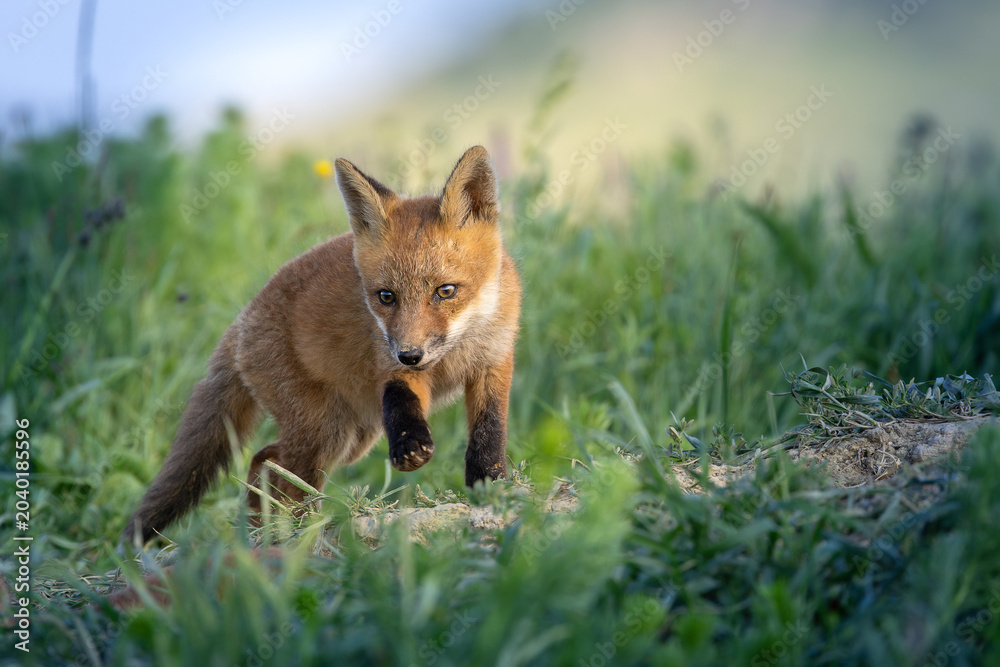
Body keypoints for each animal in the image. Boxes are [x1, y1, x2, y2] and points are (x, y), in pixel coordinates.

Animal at [123, 145, 521, 545]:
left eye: (446, 291)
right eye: (386, 296)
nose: (410, 354)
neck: (457, 349)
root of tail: (243, 319)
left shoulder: (494, 363)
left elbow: (489, 430)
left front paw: (489, 484)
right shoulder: (393, 368)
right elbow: (401, 401)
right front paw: (409, 445)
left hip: (352, 436)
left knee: (266, 462)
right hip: (324, 433)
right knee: (273, 468)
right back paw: (279, 536)